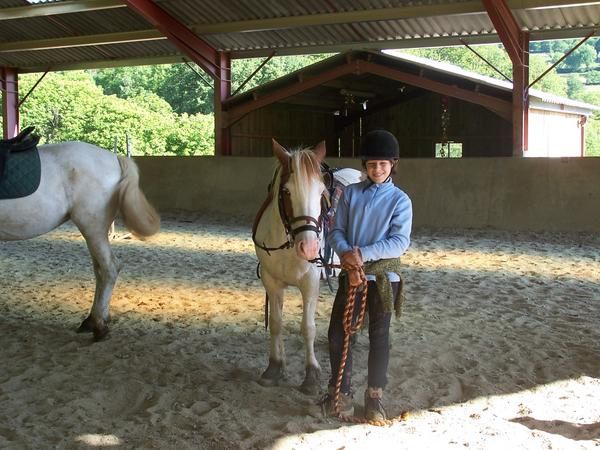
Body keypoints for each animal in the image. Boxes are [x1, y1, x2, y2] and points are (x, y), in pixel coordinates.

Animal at [0, 134, 159, 342]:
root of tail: (115, 159)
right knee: (100, 271)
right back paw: (92, 320)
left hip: (92, 228)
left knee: (109, 268)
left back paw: (99, 325)